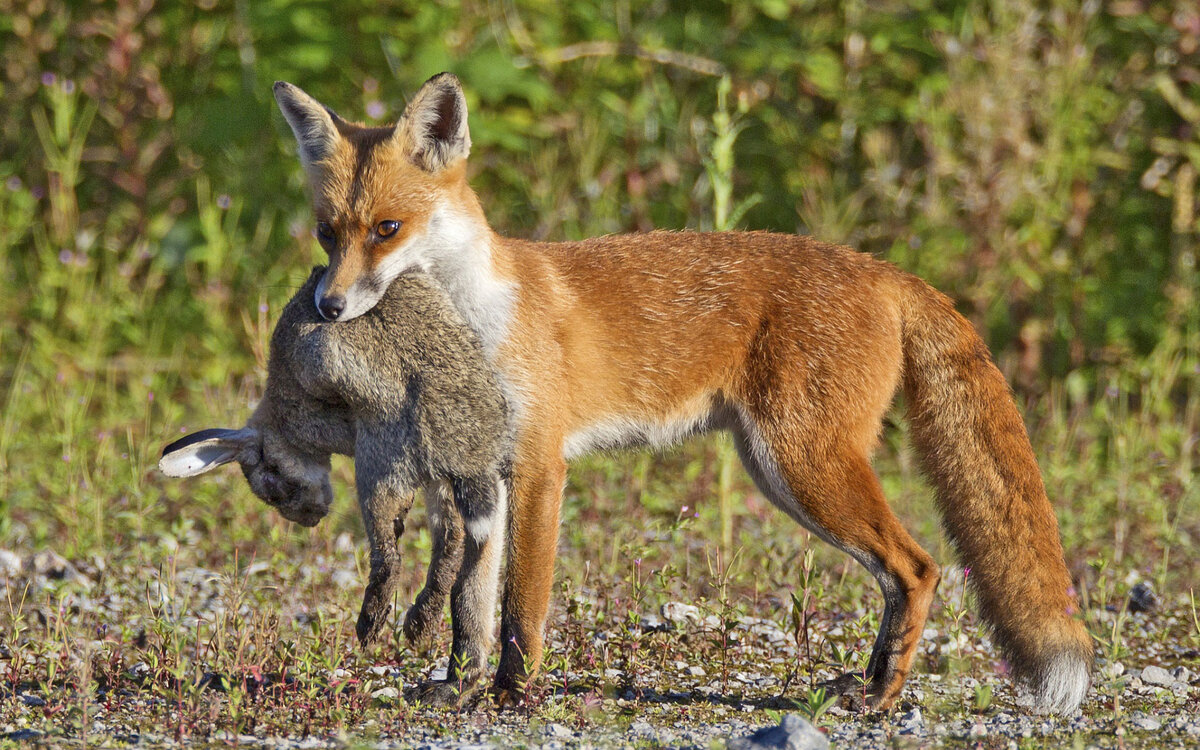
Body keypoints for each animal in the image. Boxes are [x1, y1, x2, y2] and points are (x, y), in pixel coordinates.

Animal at [274, 73, 1099, 710]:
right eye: (327, 234)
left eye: (388, 228)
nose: (328, 307)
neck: (473, 319)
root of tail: (880, 268)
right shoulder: (479, 472)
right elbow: (469, 606)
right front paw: (461, 687)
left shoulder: (540, 467)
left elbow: (520, 606)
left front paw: (510, 695)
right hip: (781, 470)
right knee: (904, 576)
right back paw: (864, 684)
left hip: (801, 465)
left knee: (920, 568)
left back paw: (881, 695)